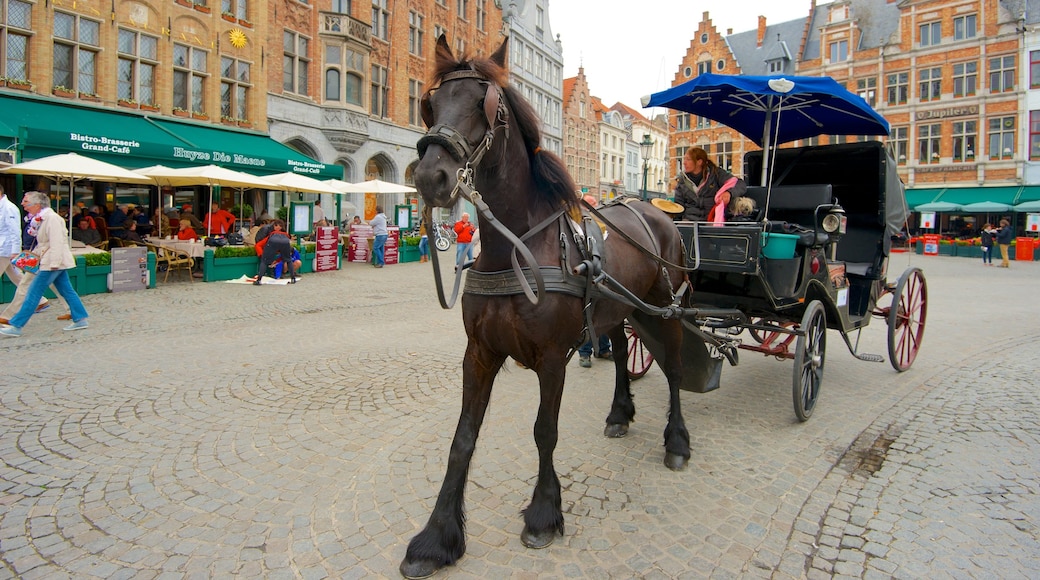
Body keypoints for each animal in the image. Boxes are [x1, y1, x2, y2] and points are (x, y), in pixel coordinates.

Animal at [401, 35, 694, 577]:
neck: (515, 246)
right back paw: (620, 413)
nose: (431, 176)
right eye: (431, 103)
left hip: (665, 310)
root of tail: (653, 211)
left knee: (676, 372)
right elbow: (462, 440)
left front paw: (543, 514)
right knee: (620, 355)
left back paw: (678, 440)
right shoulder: (479, 354)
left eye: (487, 105)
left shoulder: (552, 358)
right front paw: (436, 538)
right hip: (618, 313)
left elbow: (545, 431)